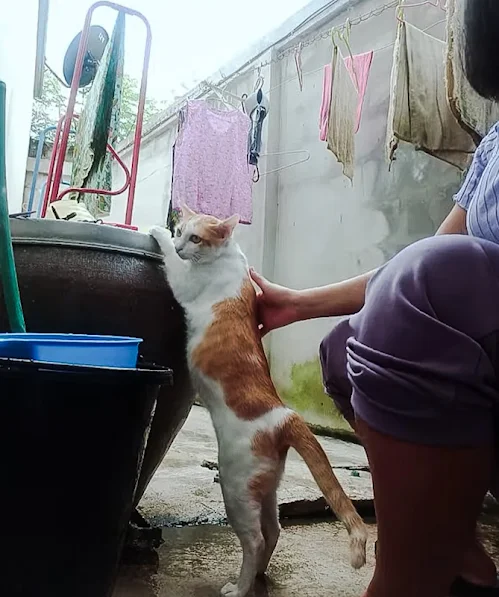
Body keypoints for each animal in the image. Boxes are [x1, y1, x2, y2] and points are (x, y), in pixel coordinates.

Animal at [150, 206, 370, 596]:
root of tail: (286, 416)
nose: (178, 246)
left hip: (236, 486)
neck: (227, 257)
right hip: (266, 491)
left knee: (254, 539)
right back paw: (258, 576)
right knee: (273, 532)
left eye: (195, 238)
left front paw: (155, 232)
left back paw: (239, 587)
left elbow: (174, 269)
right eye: (181, 232)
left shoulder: (184, 284)